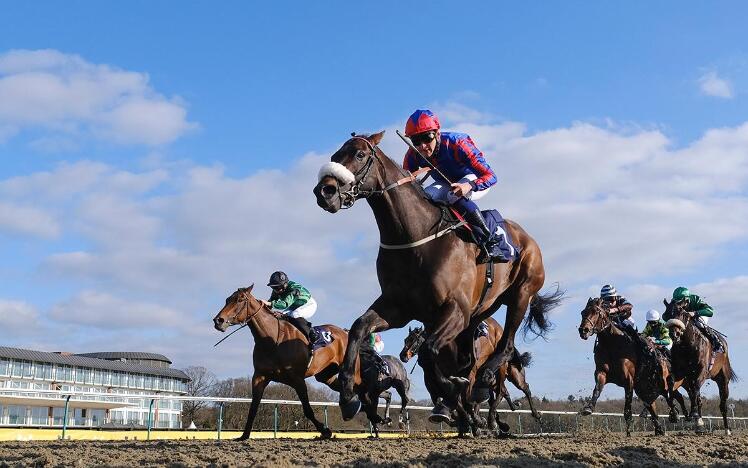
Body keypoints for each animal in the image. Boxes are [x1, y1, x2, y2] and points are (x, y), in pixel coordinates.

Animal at [212, 284, 364, 440]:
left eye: (240, 299)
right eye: (227, 299)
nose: (218, 321)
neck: (272, 340)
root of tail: (345, 332)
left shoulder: (298, 379)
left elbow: (307, 410)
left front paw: (325, 430)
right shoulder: (260, 377)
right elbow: (253, 408)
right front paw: (244, 435)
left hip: (353, 371)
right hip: (326, 375)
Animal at [312, 132, 560, 428]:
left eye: (359, 154)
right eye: (335, 156)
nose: (324, 191)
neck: (414, 237)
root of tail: (526, 237)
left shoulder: (455, 310)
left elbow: (429, 352)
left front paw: (452, 394)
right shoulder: (398, 308)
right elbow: (360, 327)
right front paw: (349, 393)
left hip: (521, 294)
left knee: (506, 344)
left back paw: (485, 384)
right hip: (476, 314)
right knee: (467, 358)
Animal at [580, 298, 688, 436]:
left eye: (596, 312)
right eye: (583, 312)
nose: (583, 330)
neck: (612, 344)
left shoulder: (629, 380)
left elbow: (627, 408)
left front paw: (628, 433)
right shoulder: (602, 372)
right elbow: (597, 389)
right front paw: (588, 408)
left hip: (661, 382)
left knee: (668, 396)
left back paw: (675, 415)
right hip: (644, 388)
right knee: (654, 404)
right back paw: (660, 428)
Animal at [664, 300, 732, 436]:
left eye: (681, 313)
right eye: (667, 314)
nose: (674, 334)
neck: (687, 346)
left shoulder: (701, 372)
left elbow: (695, 389)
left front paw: (693, 413)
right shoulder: (680, 372)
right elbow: (671, 383)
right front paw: (673, 414)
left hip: (723, 378)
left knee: (723, 404)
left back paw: (727, 429)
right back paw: (698, 424)